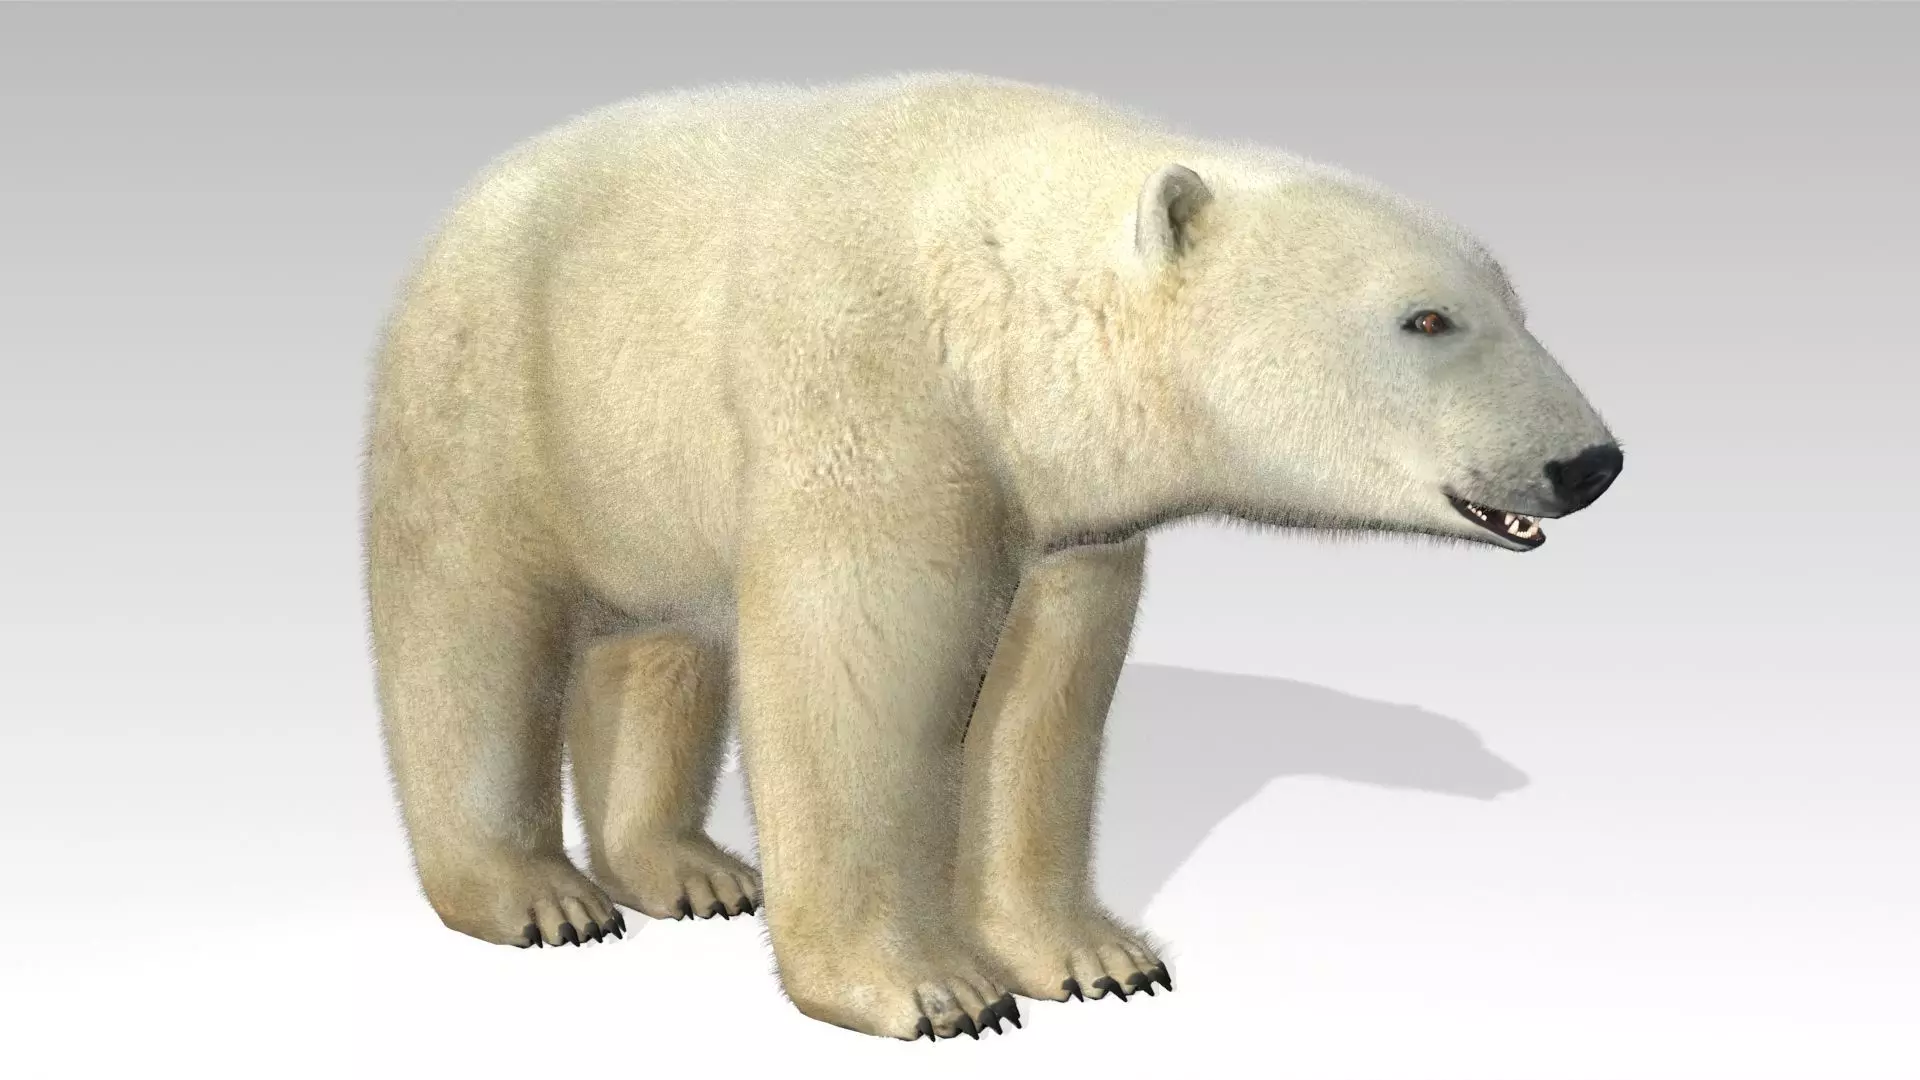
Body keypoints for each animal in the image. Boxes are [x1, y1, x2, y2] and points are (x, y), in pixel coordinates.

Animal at [361, 71, 1622, 1042]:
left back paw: (692, 871)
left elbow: (1043, 704)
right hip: (499, 389)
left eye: (1515, 304)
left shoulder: (1063, 508)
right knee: (470, 630)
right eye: (1427, 319)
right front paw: (932, 993)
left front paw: (1098, 960)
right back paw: (539, 899)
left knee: (660, 642)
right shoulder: (872, 401)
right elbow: (858, 683)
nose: (1590, 463)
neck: (994, 292)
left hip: (641, 466)